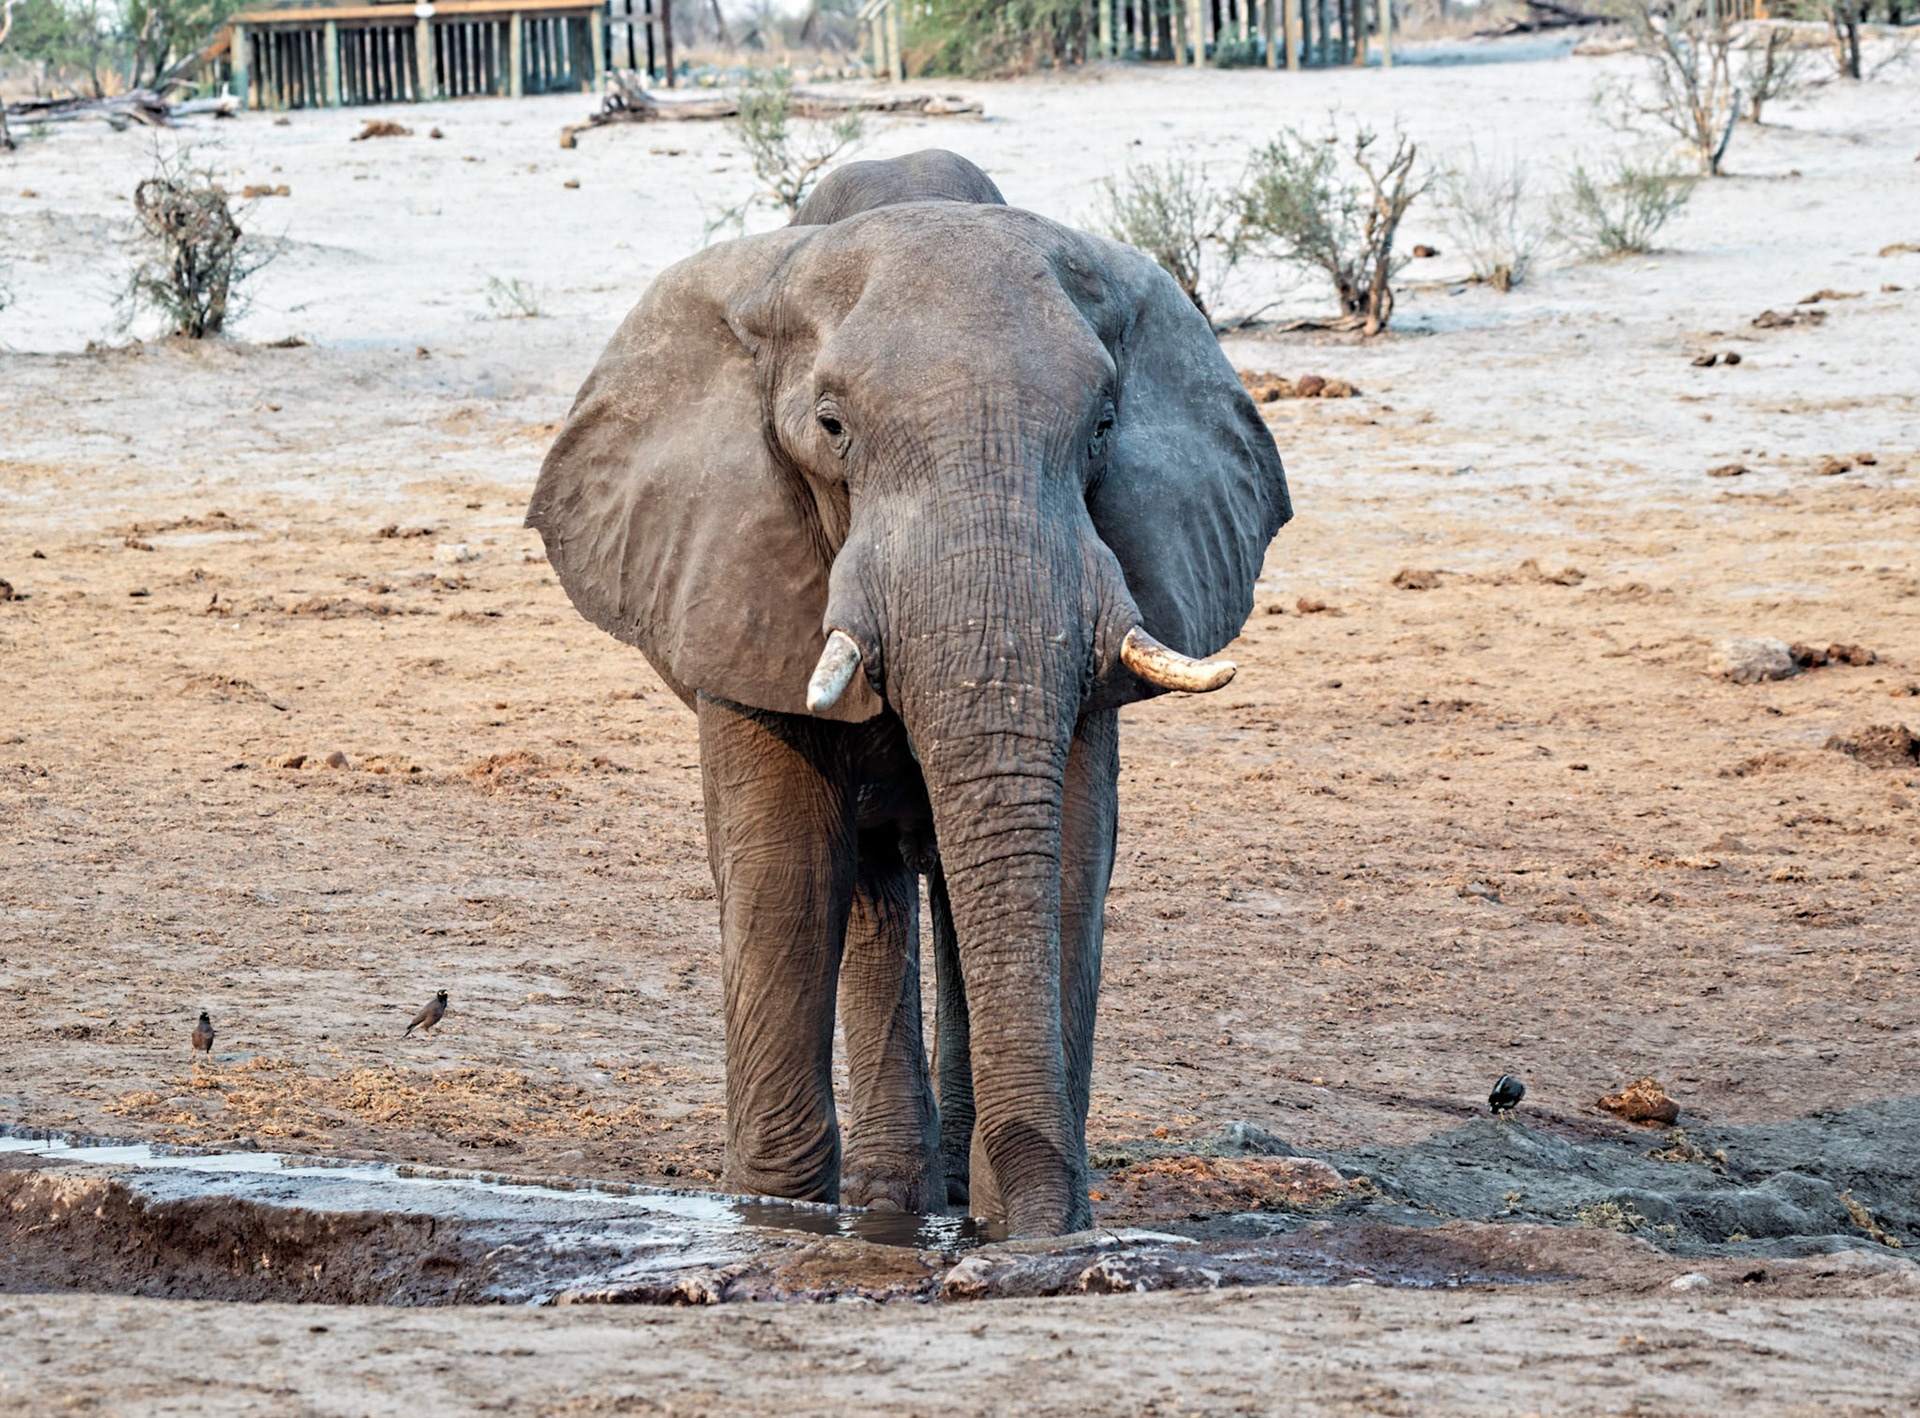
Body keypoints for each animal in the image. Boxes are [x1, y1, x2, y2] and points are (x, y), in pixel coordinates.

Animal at [526, 149, 1290, 1238]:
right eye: (832, 427)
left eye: (1104, 426)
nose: (1044, 1226)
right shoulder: (735, 570)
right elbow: (786, 867)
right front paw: (780, 1221)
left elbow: (1068, 856)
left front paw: (1018, 1230)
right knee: (872, 881)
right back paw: (893, 1202)